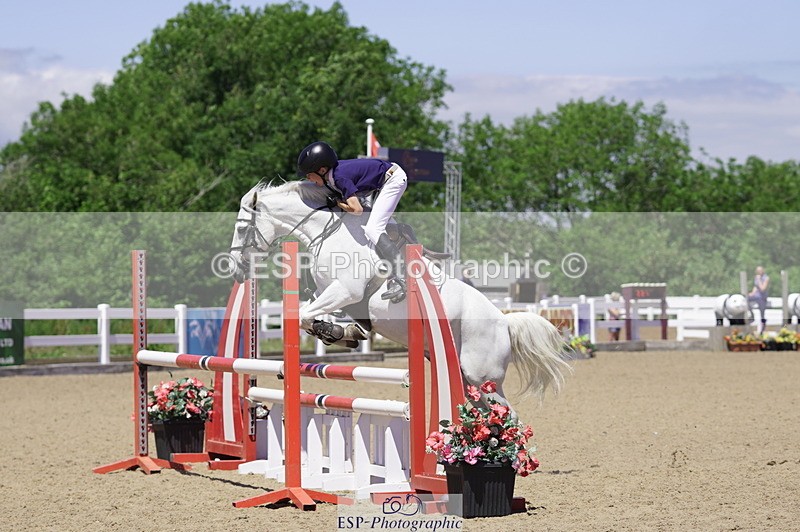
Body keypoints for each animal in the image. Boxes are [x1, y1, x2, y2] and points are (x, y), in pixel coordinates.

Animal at [228, 180, 570, 413]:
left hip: (482, 375)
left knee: (508, 415)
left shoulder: (346, 290)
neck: (328, 233)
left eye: (242, 228)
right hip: (462, 375)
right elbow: (307, 311)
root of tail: (503, 321)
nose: (236, 269)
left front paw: (332, 331)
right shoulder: (330, 293)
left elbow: (304, 315)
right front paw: (344, 332)